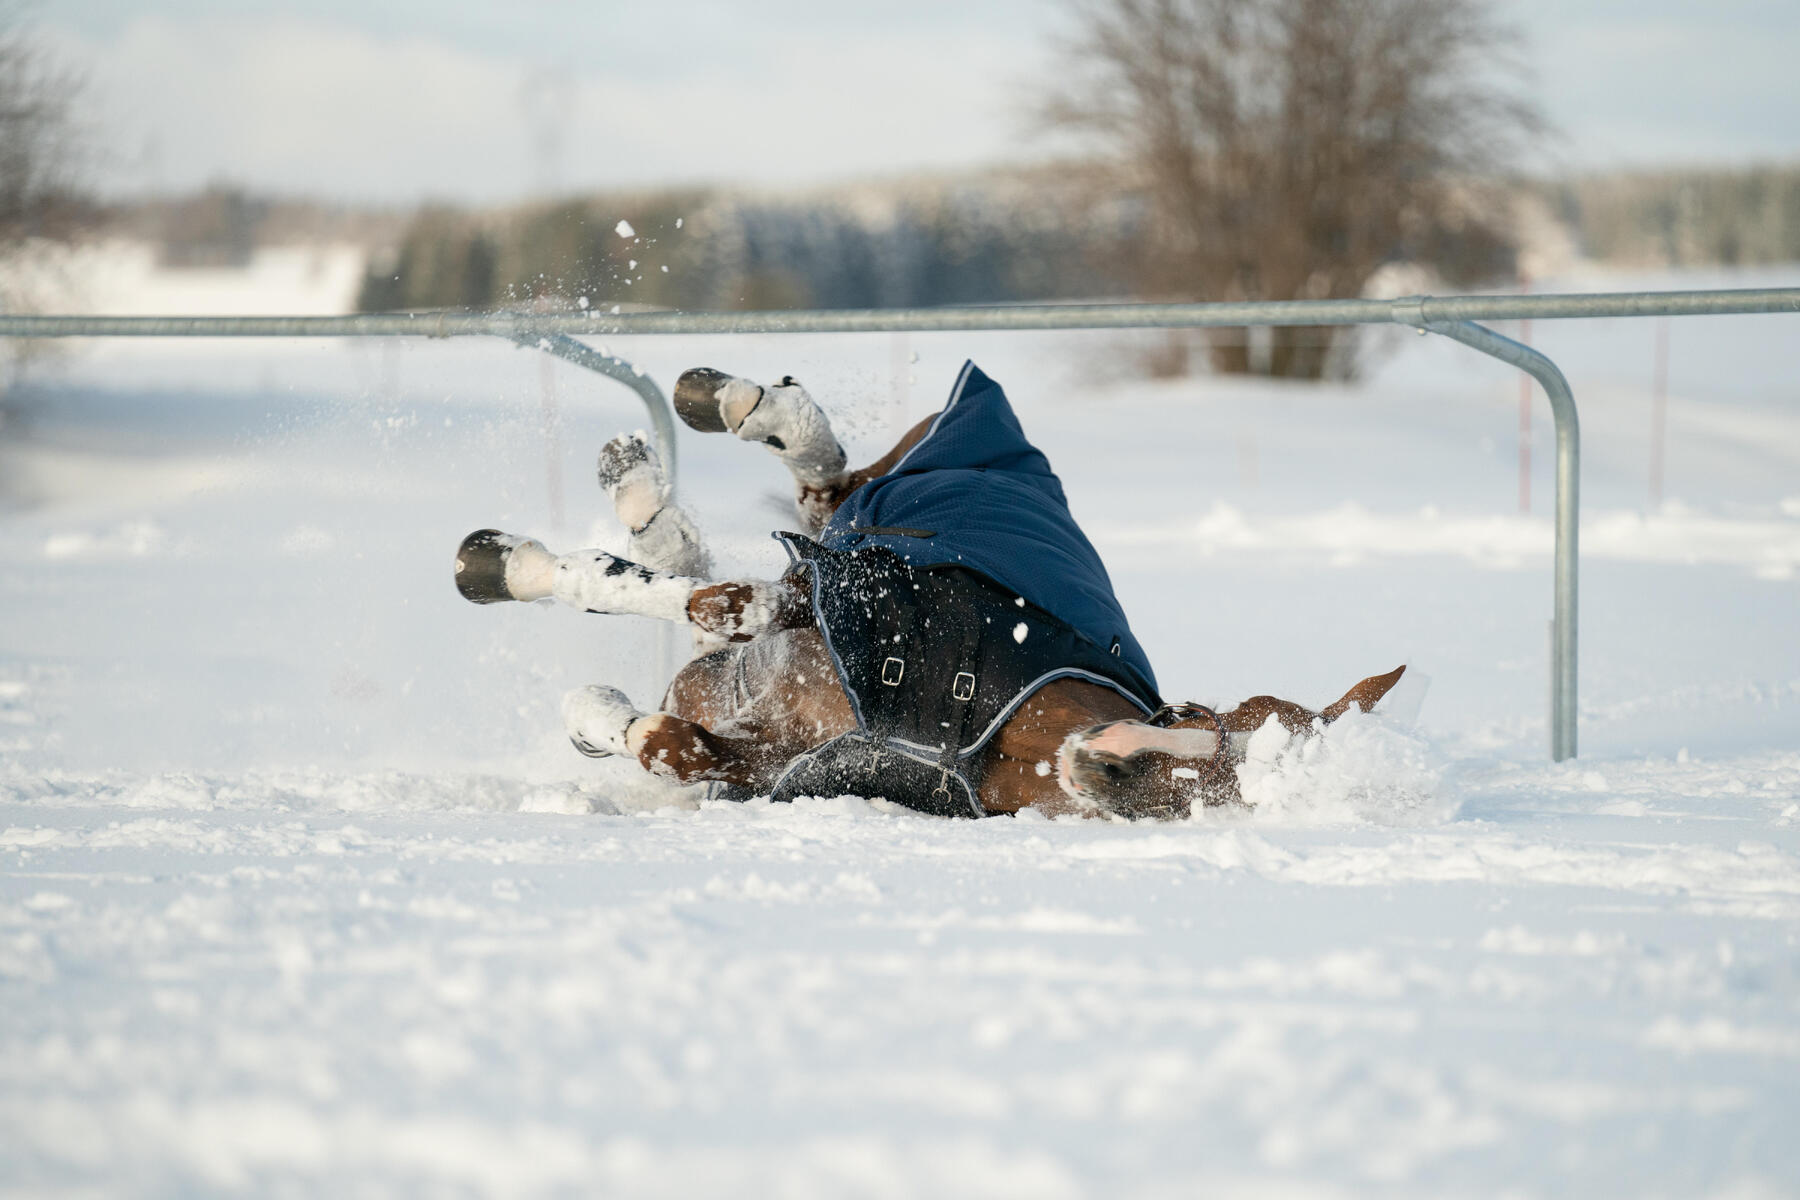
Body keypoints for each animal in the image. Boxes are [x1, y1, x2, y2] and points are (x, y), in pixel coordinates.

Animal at [453, 361, 1404, 820]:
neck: (982, 724)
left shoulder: (755, 763)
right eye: (1210, 722)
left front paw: (591, 711)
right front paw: (528, 565)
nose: (1106, 763)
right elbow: (718, 600)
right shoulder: (835, 591)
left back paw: (638, 495)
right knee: (821, 469)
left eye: (1198, 804)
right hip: (878, 499)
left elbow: (664, 737)